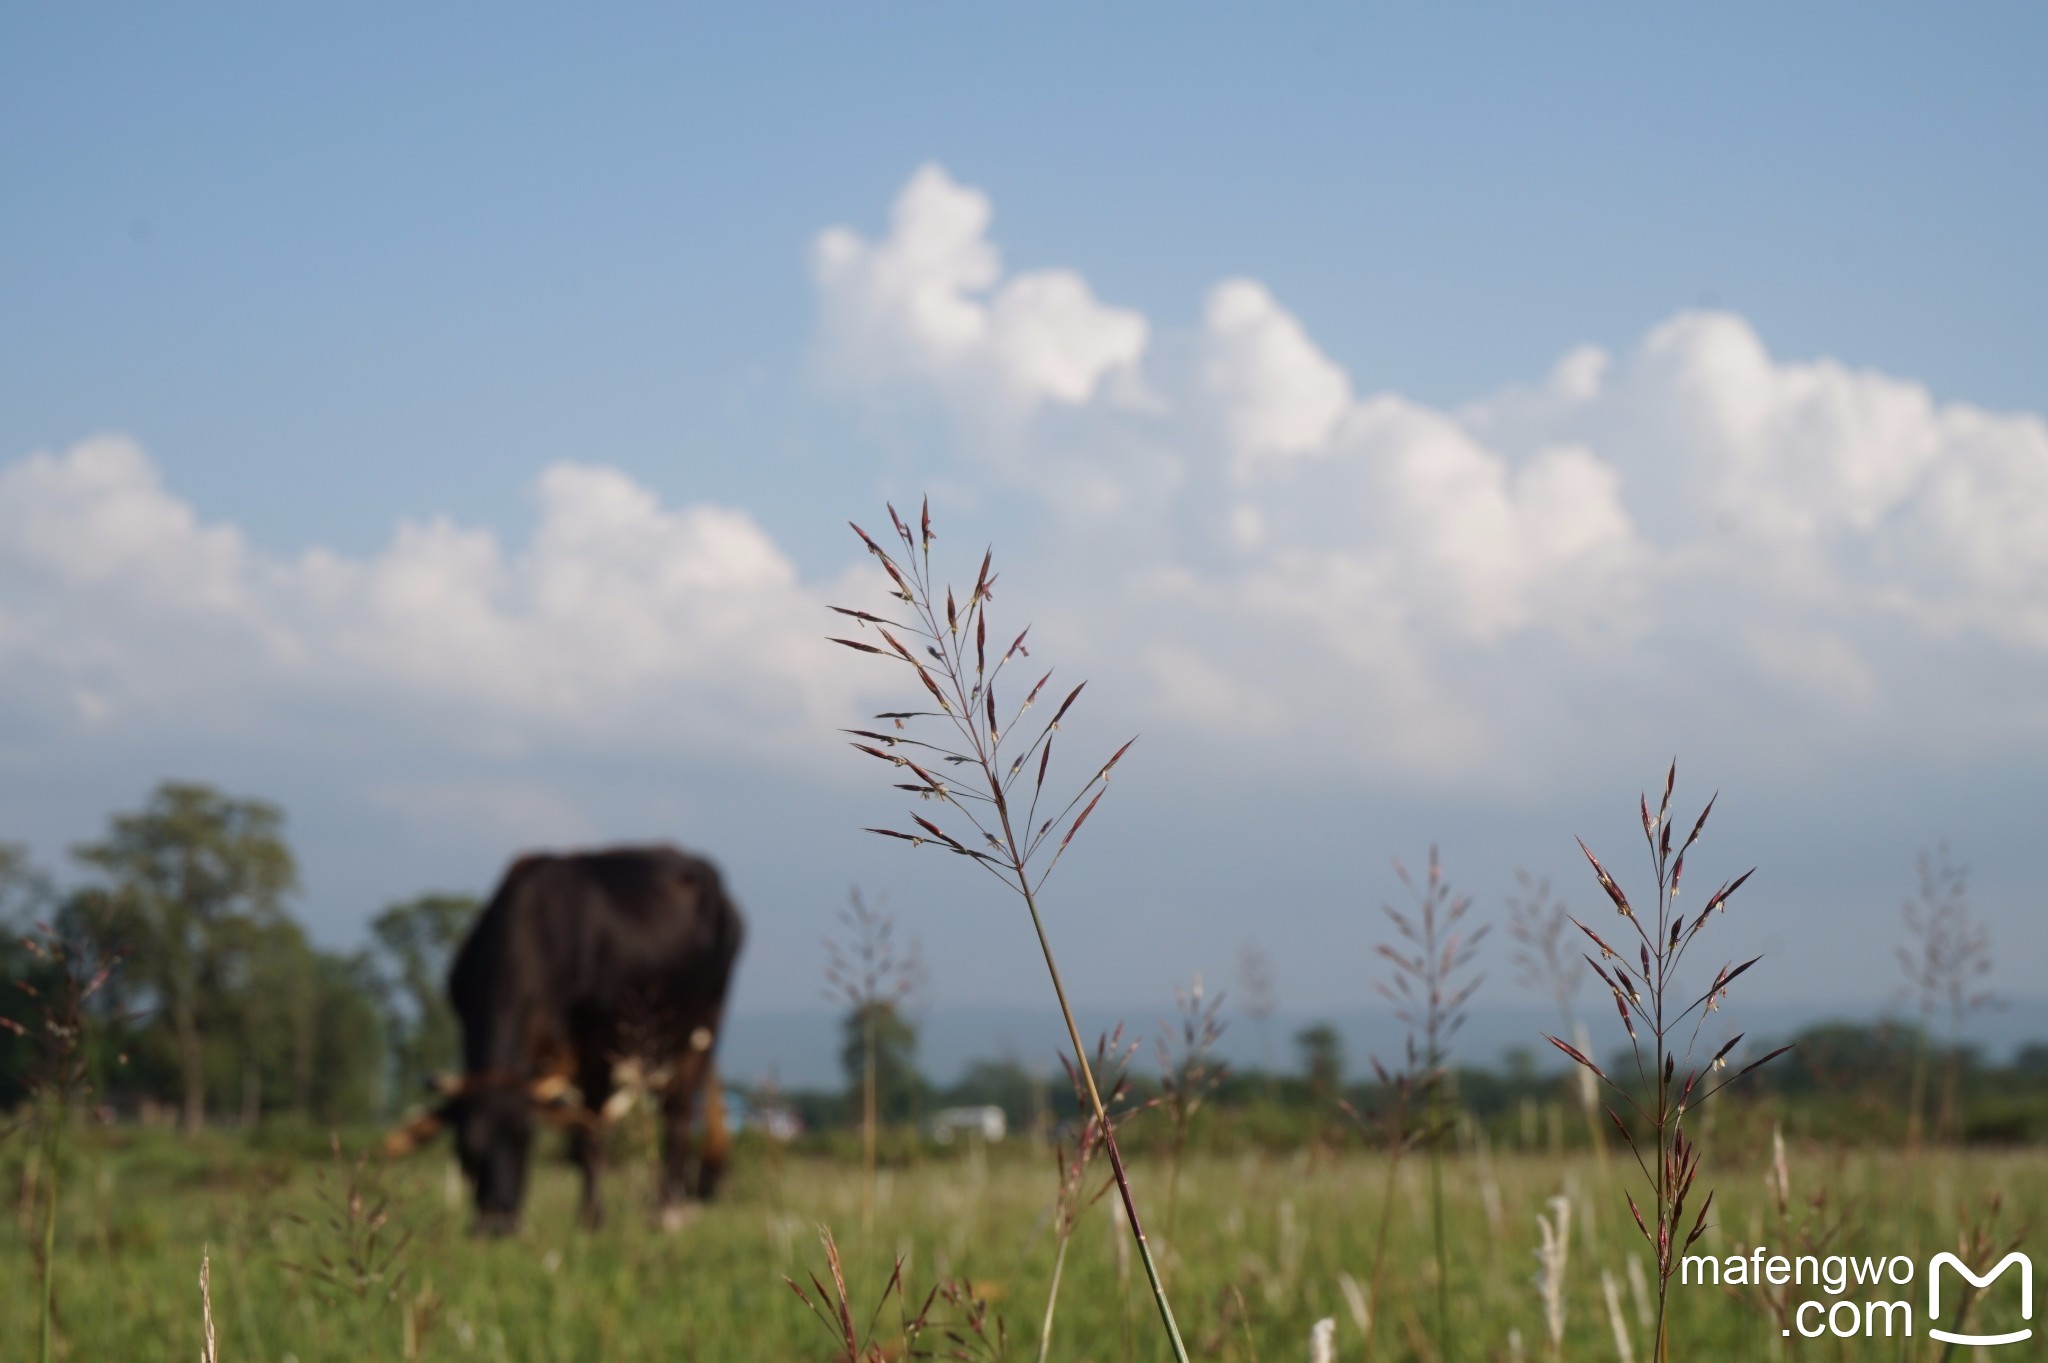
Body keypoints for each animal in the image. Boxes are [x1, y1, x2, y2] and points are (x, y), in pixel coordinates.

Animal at [419, 843, 741, 1227]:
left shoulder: (597, 1042)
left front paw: (591, 1217)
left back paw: (667, 1210)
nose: (498, 1223)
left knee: (677, 1113)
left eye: (523, 1139)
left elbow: (591, 1128)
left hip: (704, 1025)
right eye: (467, 1149)